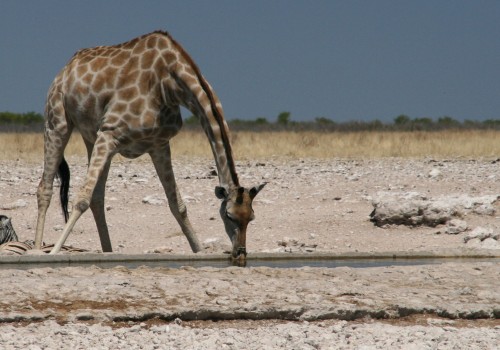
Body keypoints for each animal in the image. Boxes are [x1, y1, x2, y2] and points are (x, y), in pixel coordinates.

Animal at [35, 30, 266, 260]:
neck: (169, 83)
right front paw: (53, 252)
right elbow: (81, 198)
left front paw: (199, 251)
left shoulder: (158, 144)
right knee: (45, 188)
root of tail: (65, 69)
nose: (240, 254)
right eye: (229, 215)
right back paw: (38, 249)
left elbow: (177, 205)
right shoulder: (110, 133)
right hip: (57, 122)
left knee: (98, 198)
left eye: (251, 217)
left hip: (91, 137)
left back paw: (108, 252)